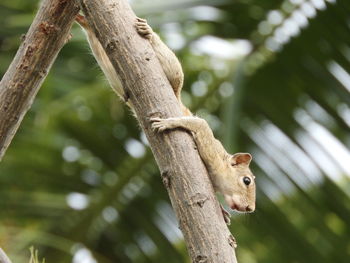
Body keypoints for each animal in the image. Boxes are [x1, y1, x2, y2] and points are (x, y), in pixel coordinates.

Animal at [76, 15, 254, 224]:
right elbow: (199, 123)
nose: (250, 208)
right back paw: (148, 32)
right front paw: (168, 123)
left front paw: (221, 210)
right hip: (173, 73)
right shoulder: (211, 149)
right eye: (247, 180)